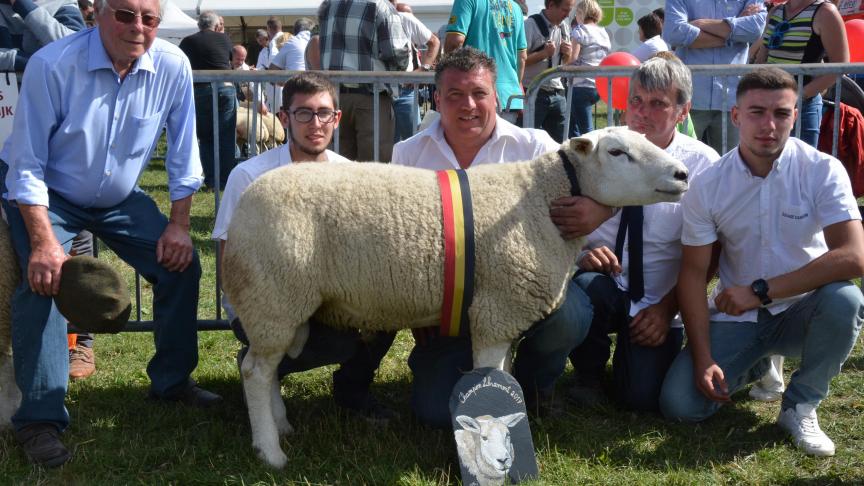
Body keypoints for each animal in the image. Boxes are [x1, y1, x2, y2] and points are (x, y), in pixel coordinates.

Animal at [223, 126, 688, 468]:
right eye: (617, 152)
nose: (683, 174)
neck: (540, 200)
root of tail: (242, 206)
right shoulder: (496, 310)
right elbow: (490, 378)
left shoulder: (502, 315)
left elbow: (505, 375)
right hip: (274, 293)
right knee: (255, 371)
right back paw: (270, 451)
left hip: (281, 302)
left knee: (264, 365)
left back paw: (281, 425)